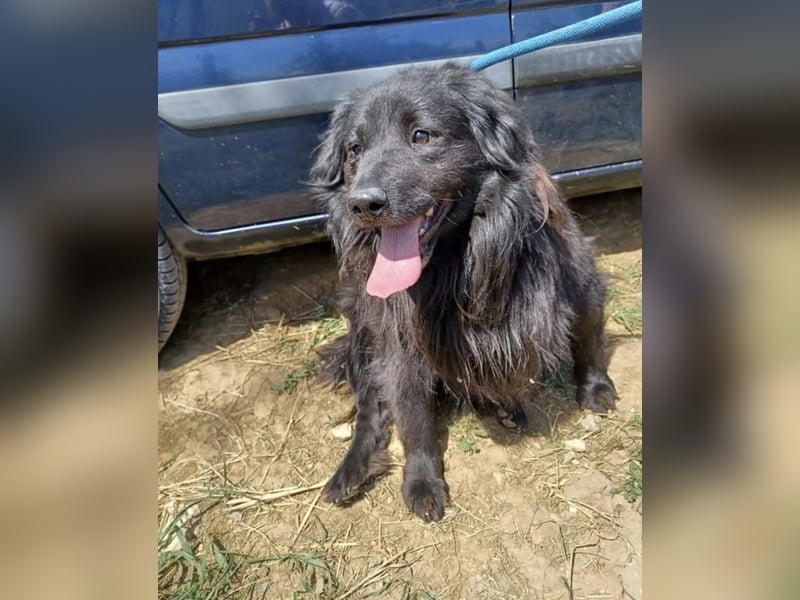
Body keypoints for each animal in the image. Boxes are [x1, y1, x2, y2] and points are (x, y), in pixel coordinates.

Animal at [310, 62, 616, 520]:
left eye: (422, 136)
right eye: (354, 149)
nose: (362, 204)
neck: (459, 263)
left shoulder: (580, 282)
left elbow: (589, 338)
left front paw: (595, 387)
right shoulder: (399, 343)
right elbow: (413, 416)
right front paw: (421, 481)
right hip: (363, 327)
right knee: (370, 407)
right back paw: (350, 471)